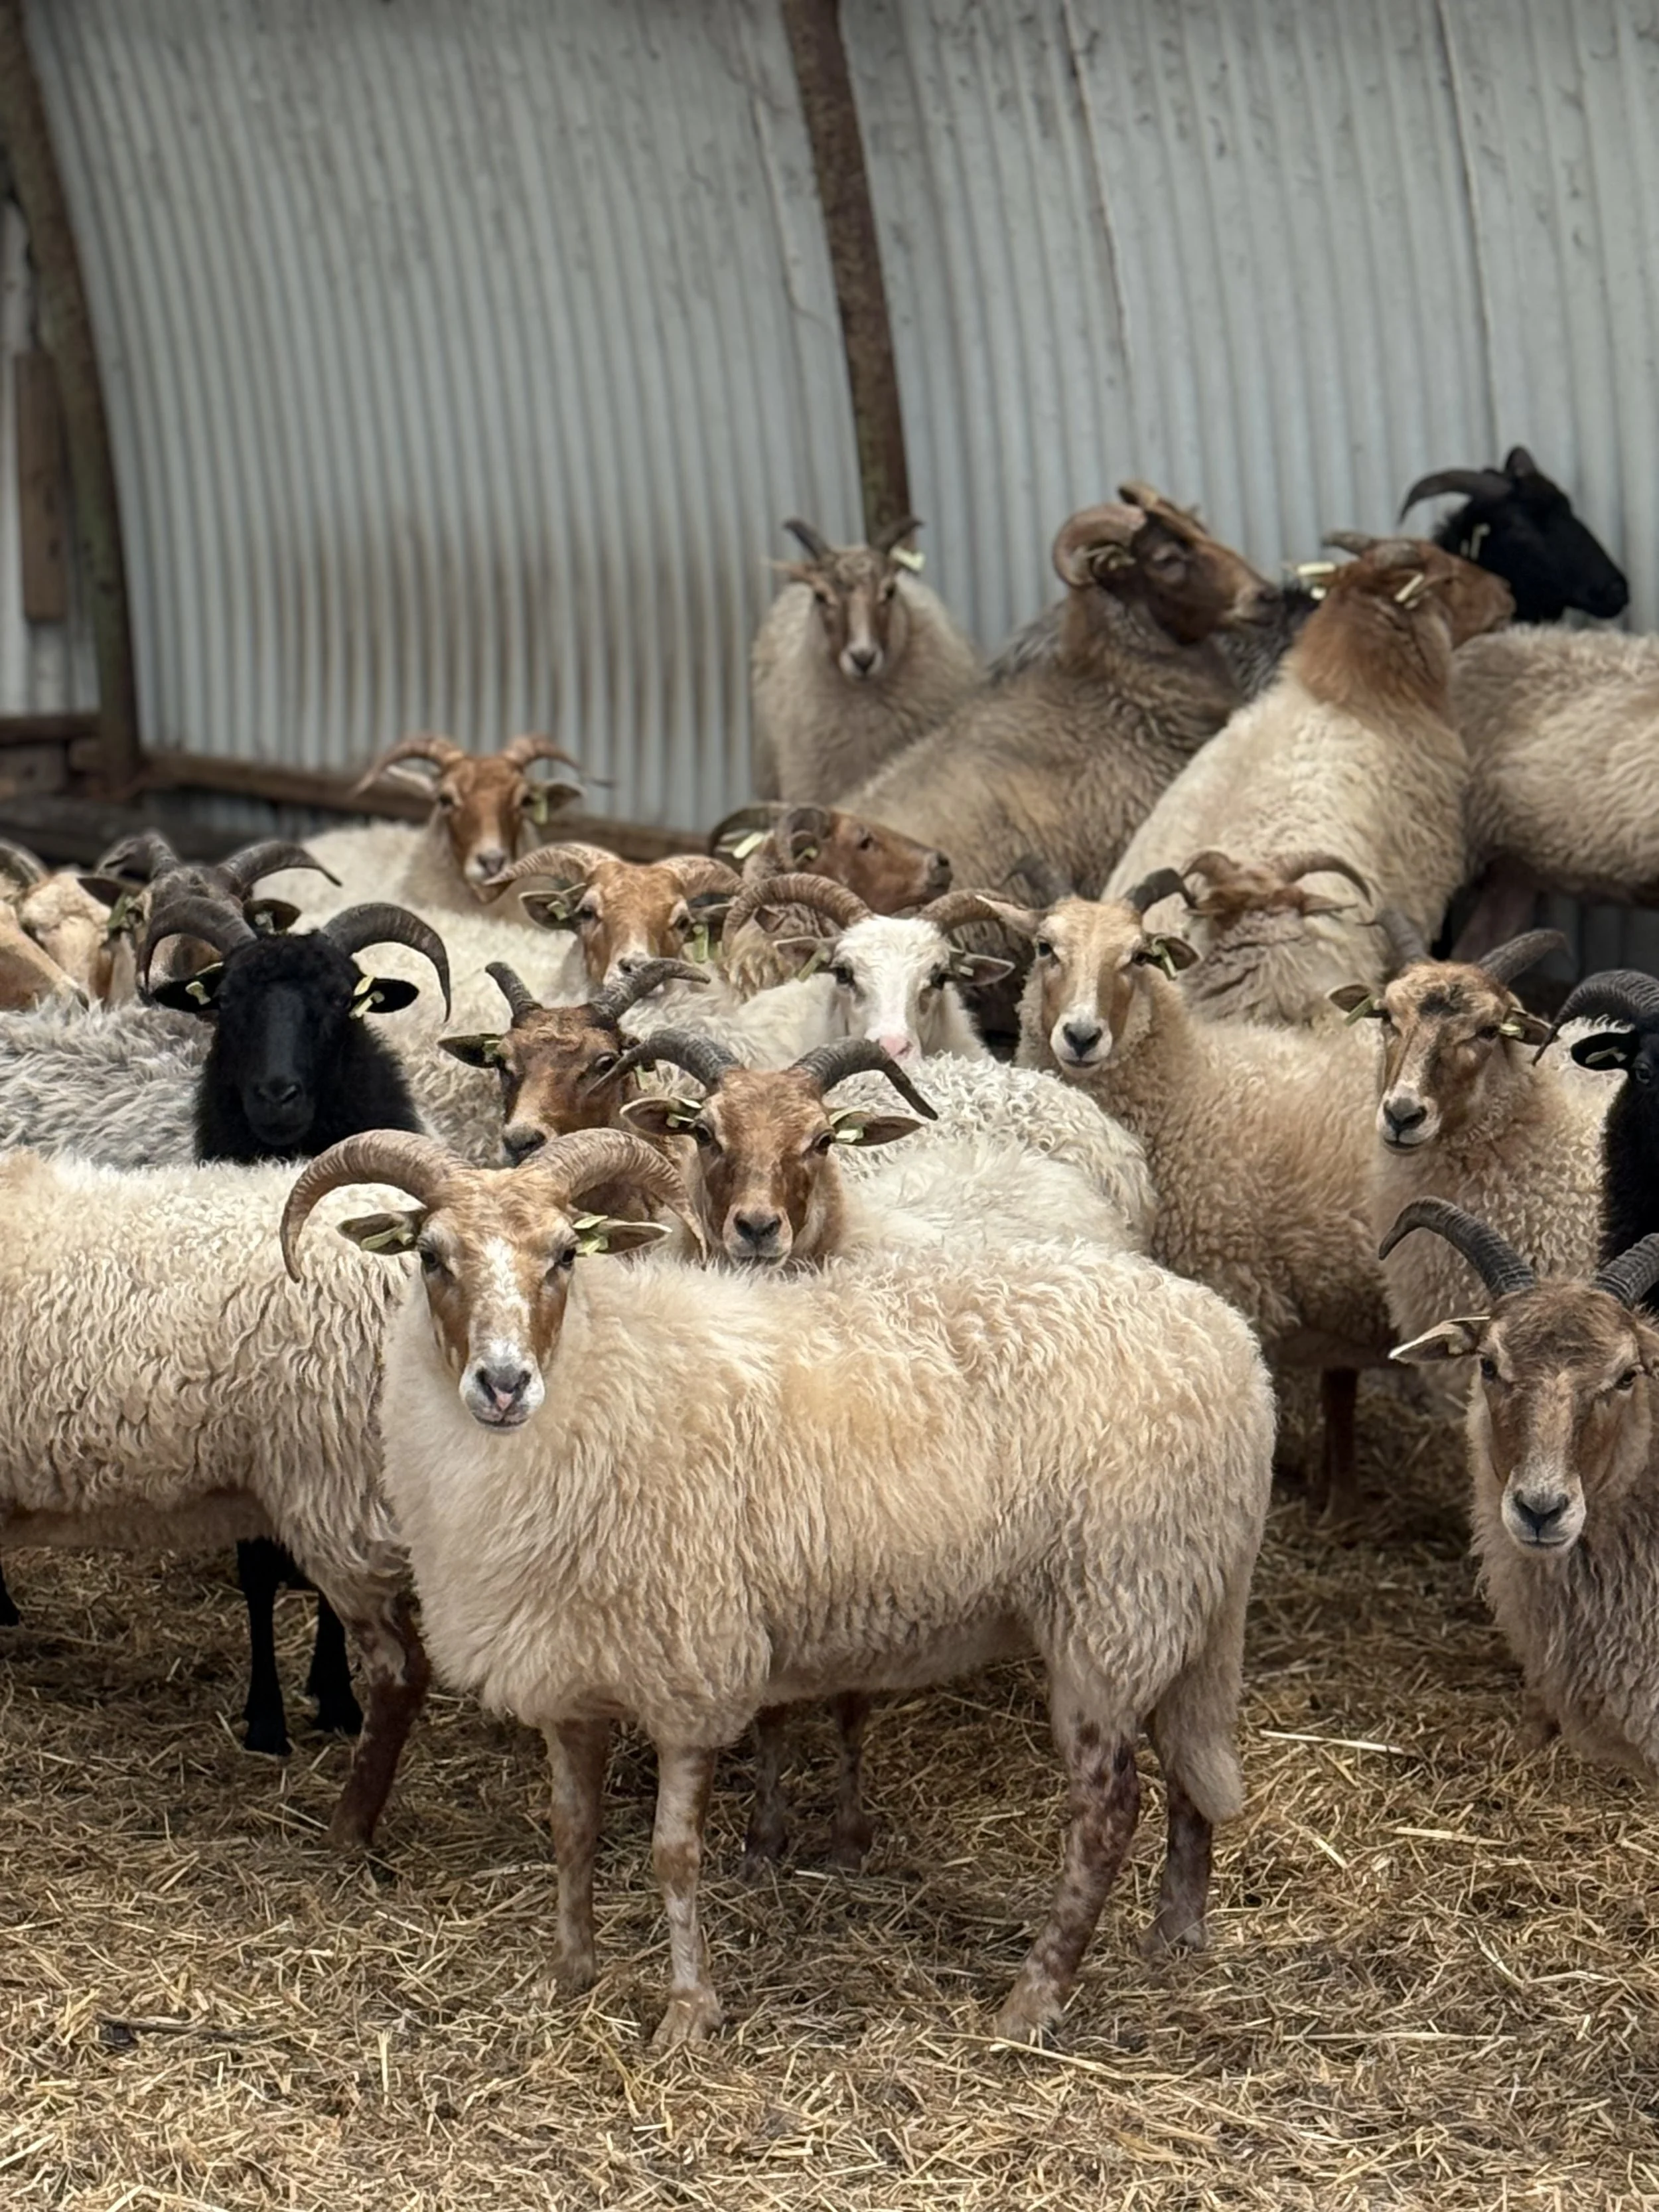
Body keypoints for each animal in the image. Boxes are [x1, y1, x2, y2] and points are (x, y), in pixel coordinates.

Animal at [282, 1125, 1275, 2047]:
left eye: (566, 1253)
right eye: (429, 1255)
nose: (501, 1383)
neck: (600, 1379)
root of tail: (1235, 1349)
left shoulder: (691, 1666)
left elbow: (673, 1856)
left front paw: (688, 2012)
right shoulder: (570, 1671)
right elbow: (571, 1829)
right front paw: (568, 1973)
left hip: (1113, 1606)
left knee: (1108, 1812)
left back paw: (1033, 1997)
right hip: (1183, 1599)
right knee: (1188, 1763)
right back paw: (1175, 1932)